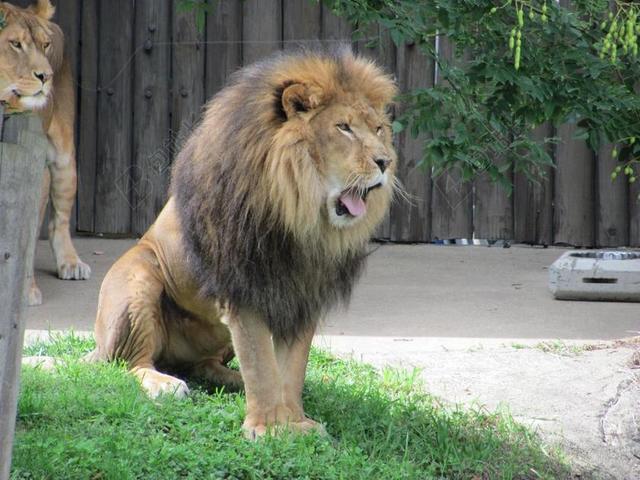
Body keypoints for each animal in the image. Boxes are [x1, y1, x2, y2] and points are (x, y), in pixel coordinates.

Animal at [0, 0, 90, 306]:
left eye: (45, 45)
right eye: (15, 44)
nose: (46, 76)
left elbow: (26, 239)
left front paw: (26, 292)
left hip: (63, 160)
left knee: (58, 222)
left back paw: (71, 264)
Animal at [88, 49, 398, 438]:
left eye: (379, 129)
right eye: (343, 127)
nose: (385, 161)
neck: (298, 215)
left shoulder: (302, 295)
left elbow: (291, 369)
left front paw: (294, 422)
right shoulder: (243, 289)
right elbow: (260, 363)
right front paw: (266, 428)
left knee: (203, 365)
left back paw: (233, 381)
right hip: (138, 280)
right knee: (129, 363)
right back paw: (164, 384)